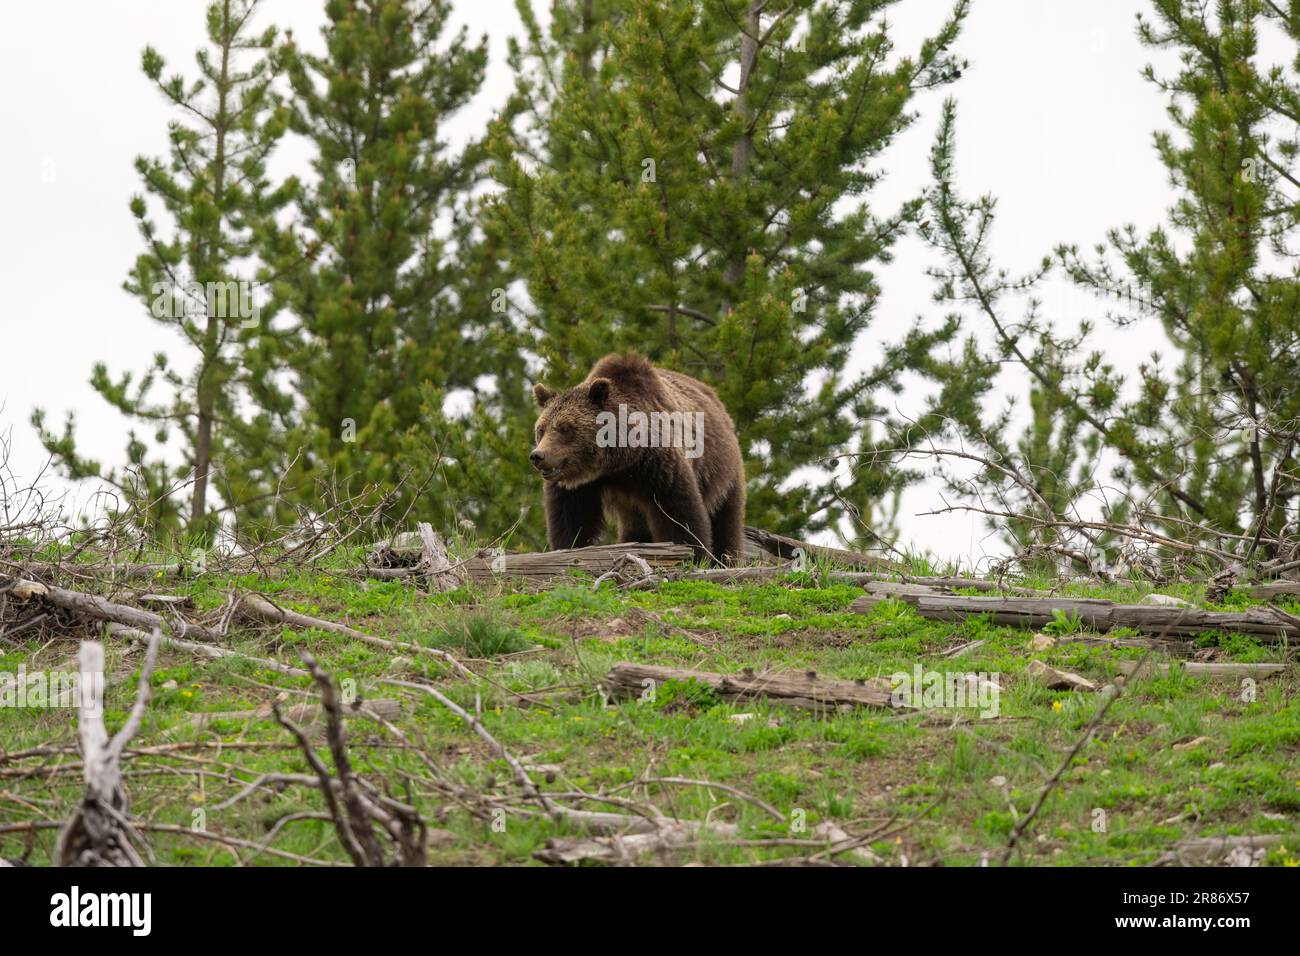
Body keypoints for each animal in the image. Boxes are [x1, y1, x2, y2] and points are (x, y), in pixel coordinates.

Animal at [530, 352, 746, 565]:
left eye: (565, 428)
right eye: (541, 429)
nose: (538, 456)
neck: (617, 463)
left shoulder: (657, 465)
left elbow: (678, 510)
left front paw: (693, 556)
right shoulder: (580, 485)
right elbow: (571, 519)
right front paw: (568, 549)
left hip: (721, 469)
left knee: (725, 518)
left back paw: (726, 558)